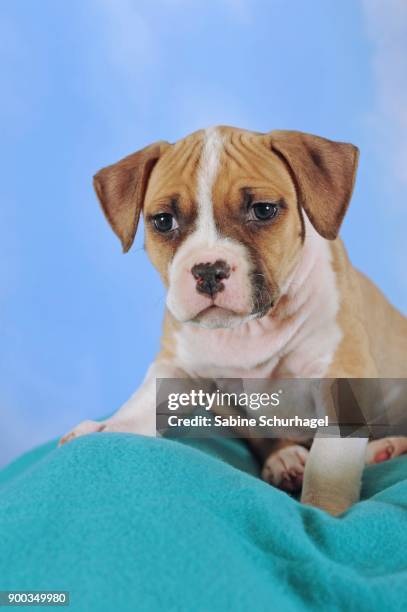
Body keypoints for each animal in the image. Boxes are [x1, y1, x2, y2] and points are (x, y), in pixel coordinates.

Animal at [60, 126, 407, 512]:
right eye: (164, 221)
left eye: (263, 210)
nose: (208, 270)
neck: (250, 328)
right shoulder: (177, 368)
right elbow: (143, 402)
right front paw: (109, 429)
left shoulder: (340, 373)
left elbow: (329, 460)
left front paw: (323, 510)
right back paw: (287, 459)